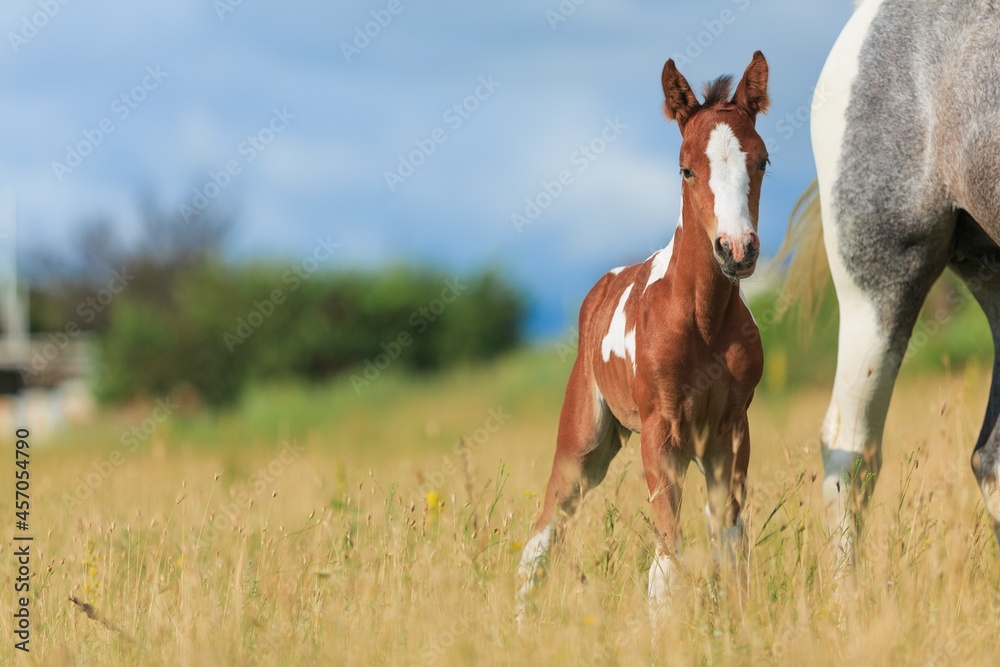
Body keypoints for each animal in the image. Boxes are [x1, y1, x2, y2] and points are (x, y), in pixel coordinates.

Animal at [520, 52, 768, 628]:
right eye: (686, 168)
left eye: (762, 162)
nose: (737, 249)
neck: (703, 320)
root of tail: (601, 288)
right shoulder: (661, 433)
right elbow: (667, 562)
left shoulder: (730, 433)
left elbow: (731, 547)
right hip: (584, 441)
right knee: (542, 532)